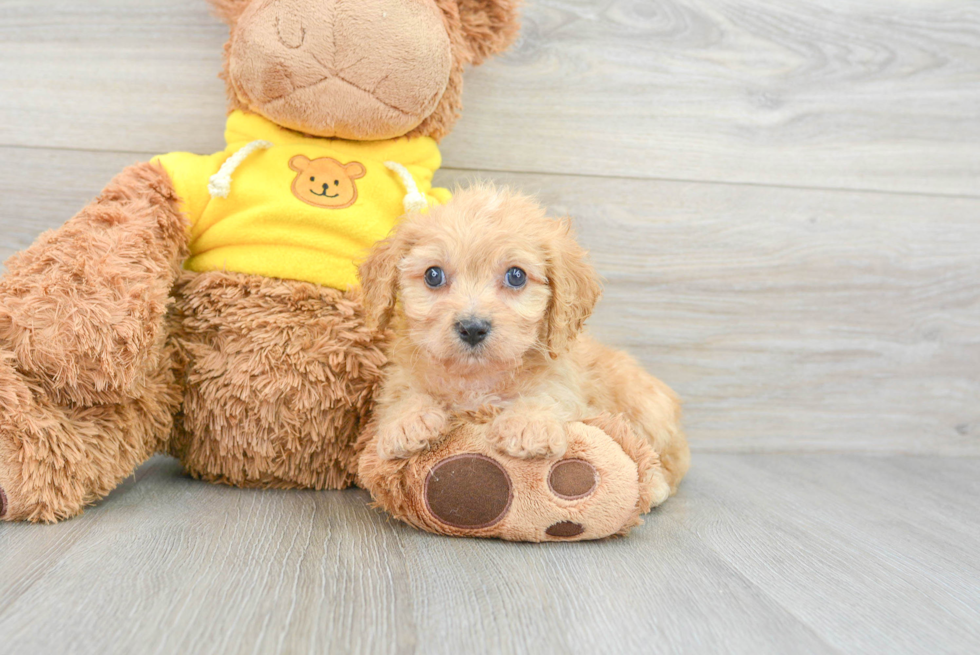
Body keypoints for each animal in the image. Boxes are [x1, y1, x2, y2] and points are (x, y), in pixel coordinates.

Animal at [360, 187, 688, 504]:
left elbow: (550, 393)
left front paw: (528, 424)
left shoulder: (570, 385)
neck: (477, 378)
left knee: (669, 459)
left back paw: (654, 486)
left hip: (646, 409)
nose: (472, 328)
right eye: (433, 275)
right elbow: (402, 394)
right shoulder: (400, 374)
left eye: (516, 276)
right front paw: (407, 421)